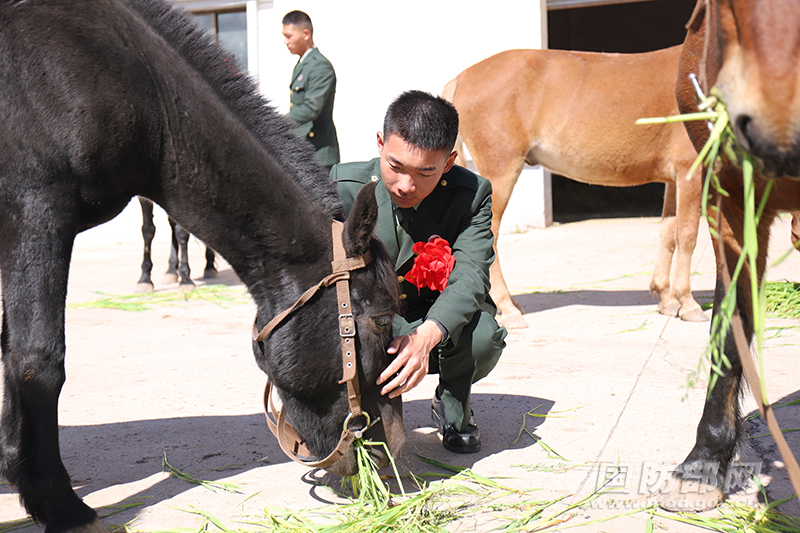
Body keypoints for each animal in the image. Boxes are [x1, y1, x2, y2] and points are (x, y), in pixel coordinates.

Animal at [0, 2, 404, 528]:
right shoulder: (36, 212)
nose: (394, 446)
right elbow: (37, 361)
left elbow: (10, 353)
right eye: (381, 320)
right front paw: (58, 502)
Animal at [444, 45, 708, 328]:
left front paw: (666, 298)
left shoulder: (673, 179)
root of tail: (462, 77)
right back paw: (508, 308)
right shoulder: (690, 170)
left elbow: (668, 234)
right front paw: (688, 303)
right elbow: (687, 235)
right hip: (501, 173)